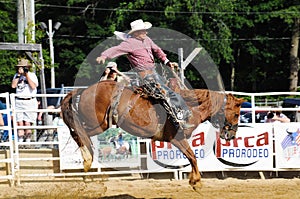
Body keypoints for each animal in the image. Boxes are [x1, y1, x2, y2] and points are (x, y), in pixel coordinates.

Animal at [60, 80, 244, 190]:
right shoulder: (177, 138)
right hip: (97, 123)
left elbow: (191, 157)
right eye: (236, 114)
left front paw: (194, 180)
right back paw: (86, 159)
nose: (231, 135)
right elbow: (192, 156)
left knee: (78, 133)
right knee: (78, 132)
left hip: (101, 124)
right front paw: (196, 182)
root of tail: (84, 90)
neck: (190, 108)